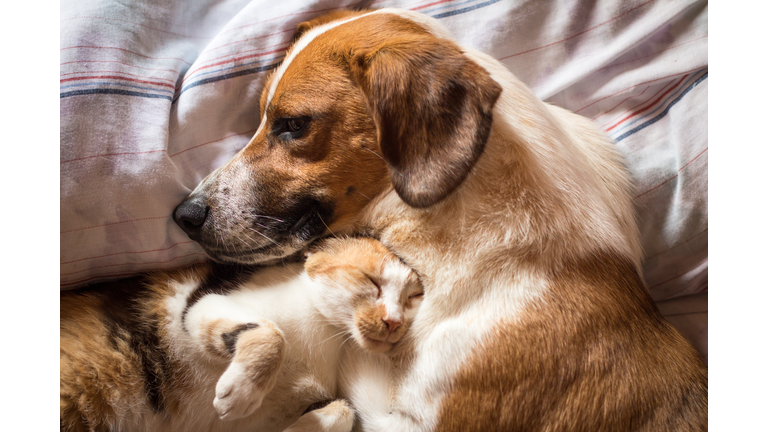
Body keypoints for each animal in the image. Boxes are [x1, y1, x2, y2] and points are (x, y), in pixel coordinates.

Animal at [59, 236, 424, 432]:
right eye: (372, 281)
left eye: (413, 298)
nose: (394, 321)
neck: (329, 337)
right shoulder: (200, 304)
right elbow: (272, 334)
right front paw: (242, 392)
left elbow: (345, 409)